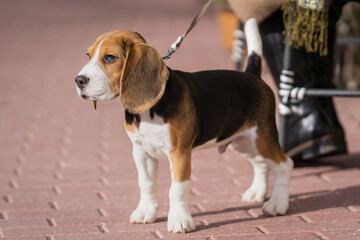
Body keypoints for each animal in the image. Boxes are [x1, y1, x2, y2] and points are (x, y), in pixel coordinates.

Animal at [75, 19, 292, 233]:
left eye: (110, 58)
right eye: (88, 55)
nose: (78, 80)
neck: (151, 109)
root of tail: (252, 75)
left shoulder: (179, 153)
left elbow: (177, 189)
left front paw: (180, 221)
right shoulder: (141, 151)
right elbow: (146, 183)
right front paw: (145, 212)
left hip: (261, 137)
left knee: (284, 164)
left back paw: (277, 204)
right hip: (242, 141)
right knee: (261, 163)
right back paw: (257, 193)